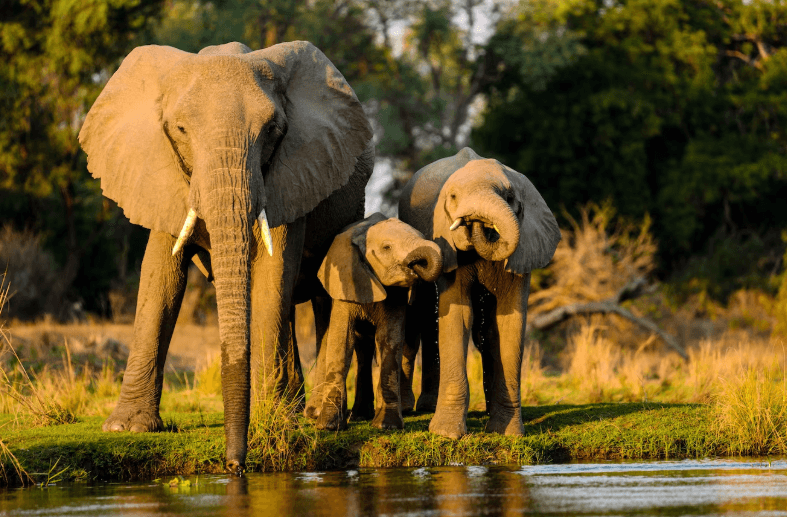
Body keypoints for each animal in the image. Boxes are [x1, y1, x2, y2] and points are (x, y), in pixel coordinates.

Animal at [78, 40, 374, 474]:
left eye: (273, 130)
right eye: (180, 130)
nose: (234, 466)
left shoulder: (291, 174)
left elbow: (271, 274)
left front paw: (272, 421)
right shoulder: (160, 174)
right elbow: (160, 279)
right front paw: (125, 429)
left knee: (323, 298)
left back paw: (319, 417)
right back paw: (295, 407)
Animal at [307, 213, 443, 431]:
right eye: (387, 247)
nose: (418, 266)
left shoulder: (397, 293)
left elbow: (389, 340)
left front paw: (386, 426)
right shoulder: (346, 282)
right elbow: (341, 341)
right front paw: (328, 426)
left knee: (409, 344)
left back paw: (397, 410)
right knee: (361, 347)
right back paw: (359, 415)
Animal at [398, 147, 561, 439]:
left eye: (509, 197)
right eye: (452, 197)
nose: (475, 221)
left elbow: (509, 322)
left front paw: (508, 433)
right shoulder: (447, 245)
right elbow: (458, 314)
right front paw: (447, 434)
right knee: (421, 317)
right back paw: (414, 408)